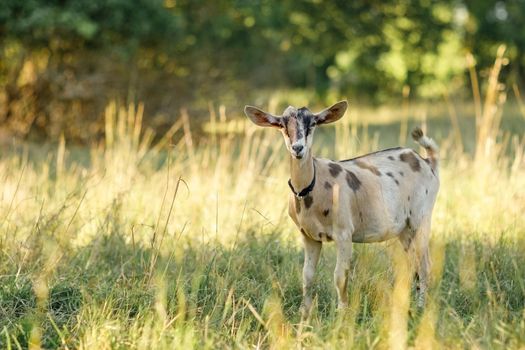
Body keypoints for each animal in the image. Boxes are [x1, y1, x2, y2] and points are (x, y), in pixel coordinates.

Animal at [244, 100, 440, 318]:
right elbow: (307, 275)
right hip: (404, 229)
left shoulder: (344, 233)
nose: (298, 148)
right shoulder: (309, 236)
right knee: (413, 265)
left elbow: (340, 275)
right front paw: (304, 312)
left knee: (425, 265)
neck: (313, 186)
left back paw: (421, 307)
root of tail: (427, 162)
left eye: (313, 123)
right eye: (282, 125)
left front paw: (342, 313)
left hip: (421, 218)